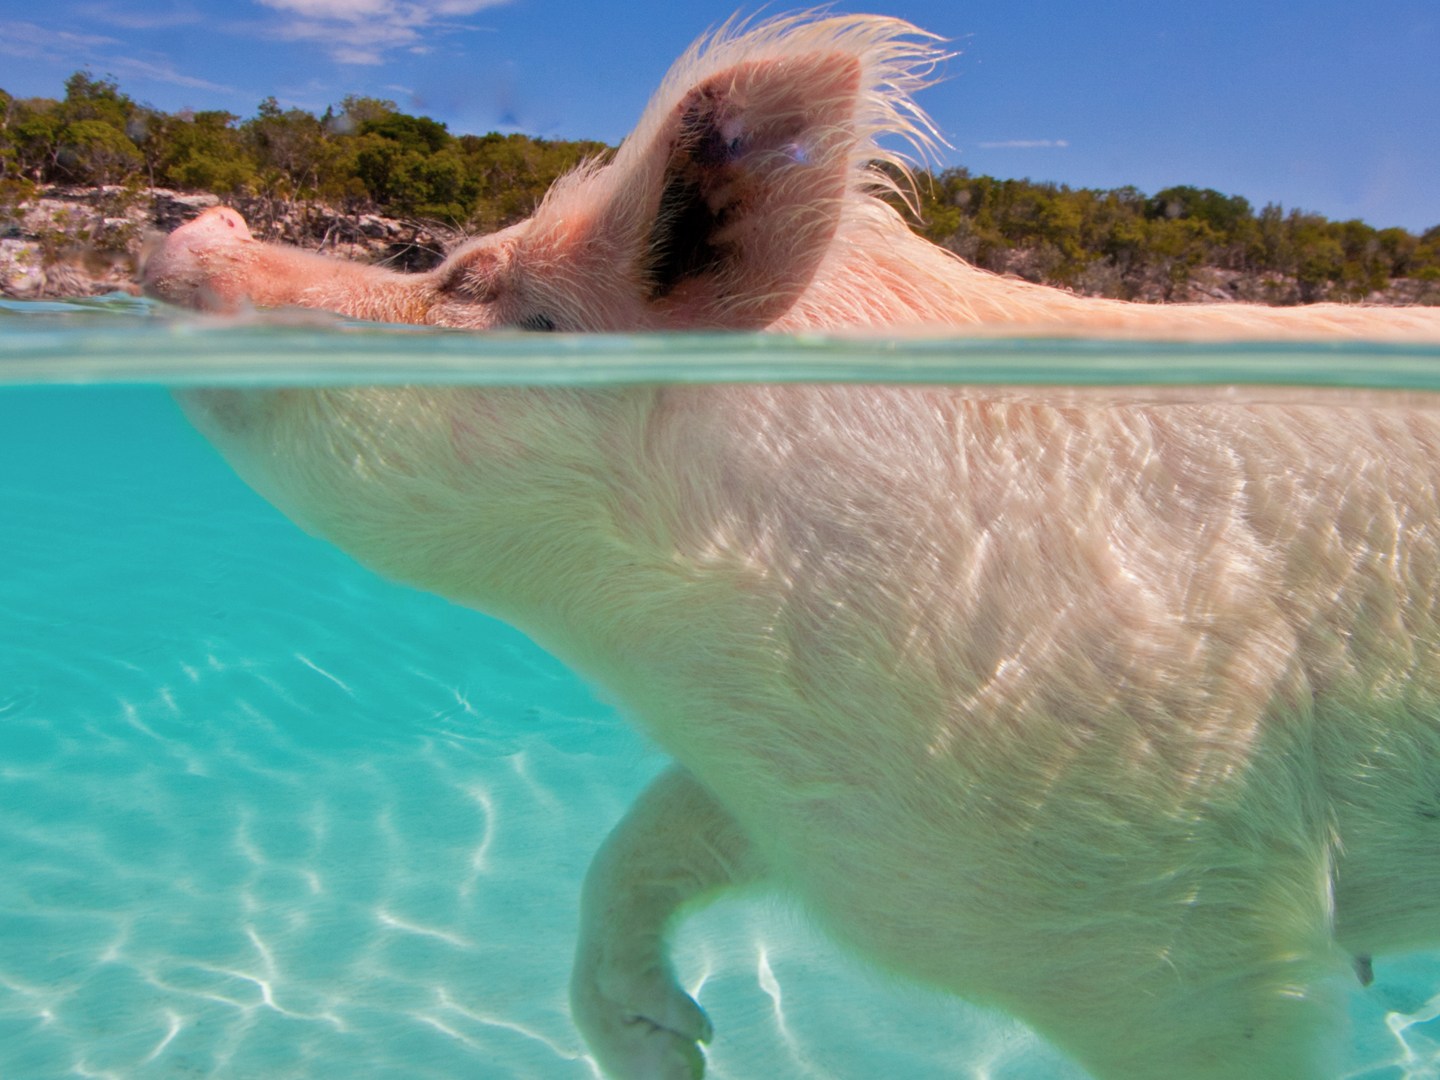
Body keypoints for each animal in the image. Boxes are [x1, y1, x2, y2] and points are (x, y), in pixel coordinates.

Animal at [142, 12, 1440, 1080]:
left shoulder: (1177, 931)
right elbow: (639, 841)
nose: (204, 220)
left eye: (469, 279)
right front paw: (669, 1054)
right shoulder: (816, 809)